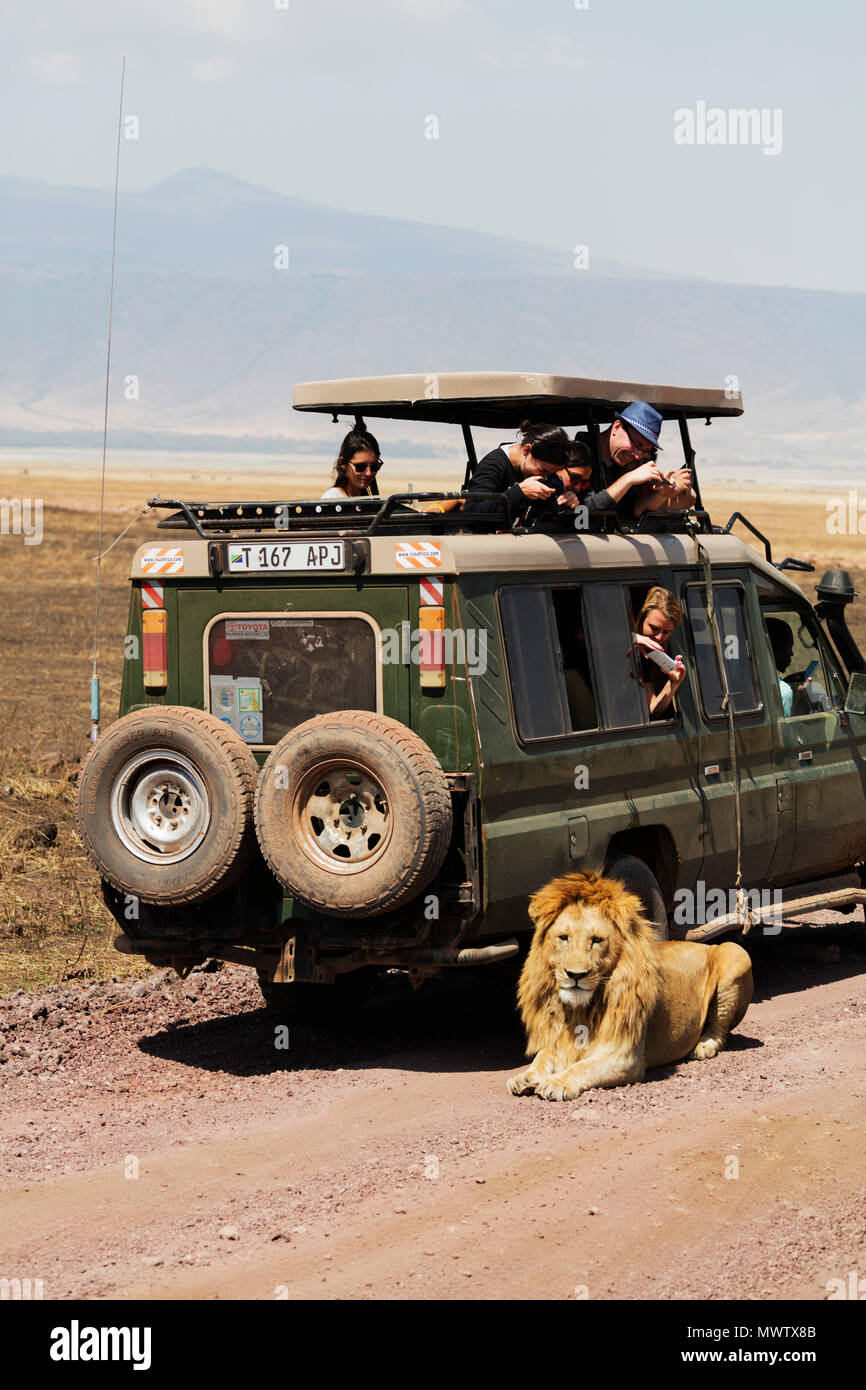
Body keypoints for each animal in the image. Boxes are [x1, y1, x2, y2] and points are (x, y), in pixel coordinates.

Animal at [508, 867, 750, 1106]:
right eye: (563, 938)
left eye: (597, 940)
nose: (576, 975)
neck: (581, 1009)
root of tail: (706, 946)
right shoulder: (558, 1041)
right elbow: (543, 1057)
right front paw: (525, 1077)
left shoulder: (625, 1057)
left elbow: (582, 1067)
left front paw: (557, 1083)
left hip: (736, 953)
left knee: (720, 1028)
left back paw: (704, 1046)